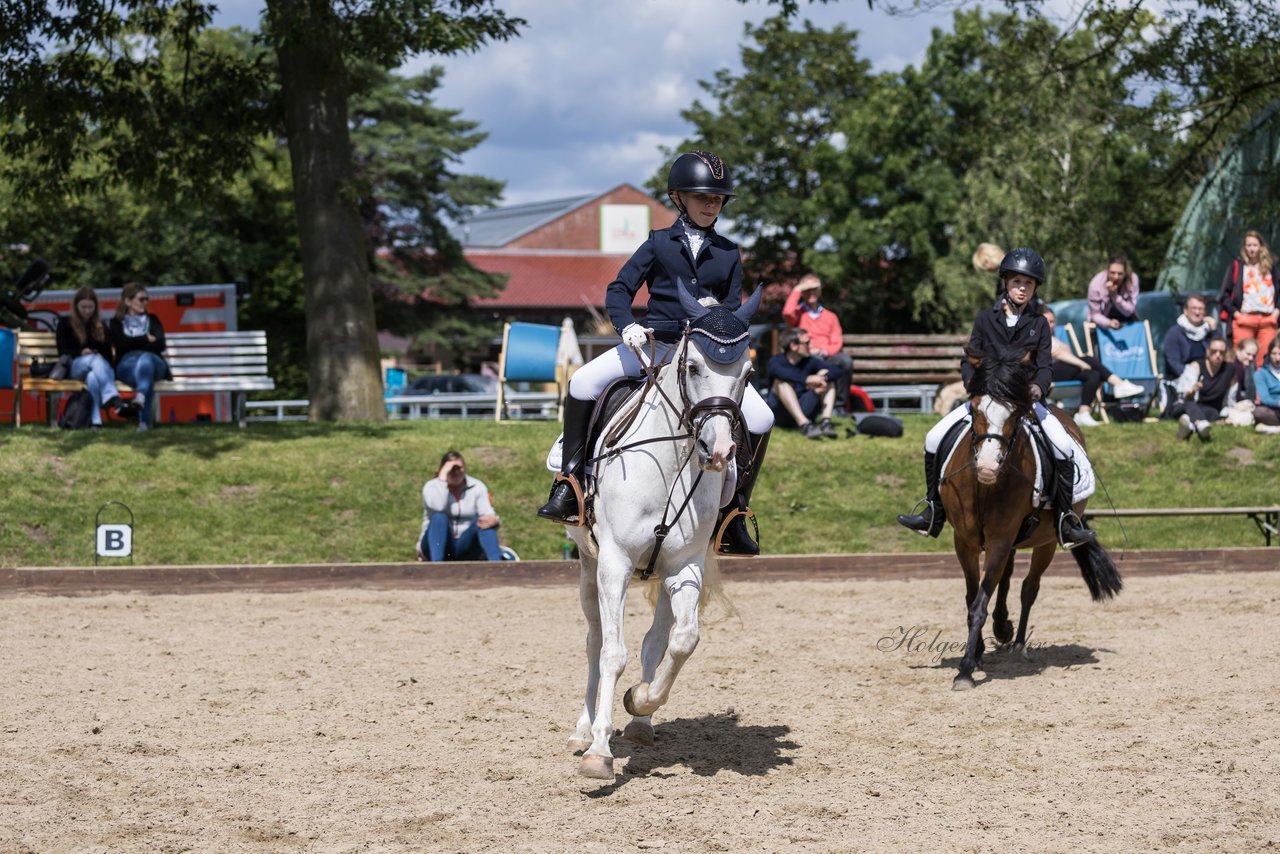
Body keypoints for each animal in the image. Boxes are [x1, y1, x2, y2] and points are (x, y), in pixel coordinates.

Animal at [570, 286, 757, 783]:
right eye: (693, 367)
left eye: (748, 373)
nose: (720, 451)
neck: (672, 464)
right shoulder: (613, 564)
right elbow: (612, 652)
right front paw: (599, 751)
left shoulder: (685, 567)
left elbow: (683, 641)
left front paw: (639, 700)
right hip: (589, 567)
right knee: (594, 641)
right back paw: (582, 730)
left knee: (657, 640)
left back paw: (639, 723)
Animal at [942, 345, 1121, 686]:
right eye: (975, 409)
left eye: (1015, 413)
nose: (987, 467)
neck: (985, 488)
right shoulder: (965, 541)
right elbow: (974, 595)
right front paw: (977, 653)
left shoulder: (1000, 539)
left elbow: (981, 603)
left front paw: (967, 670)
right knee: (1007, 579)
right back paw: (1003, 629)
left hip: (1046, 542)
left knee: (1028, 588)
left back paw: (1018, 643)